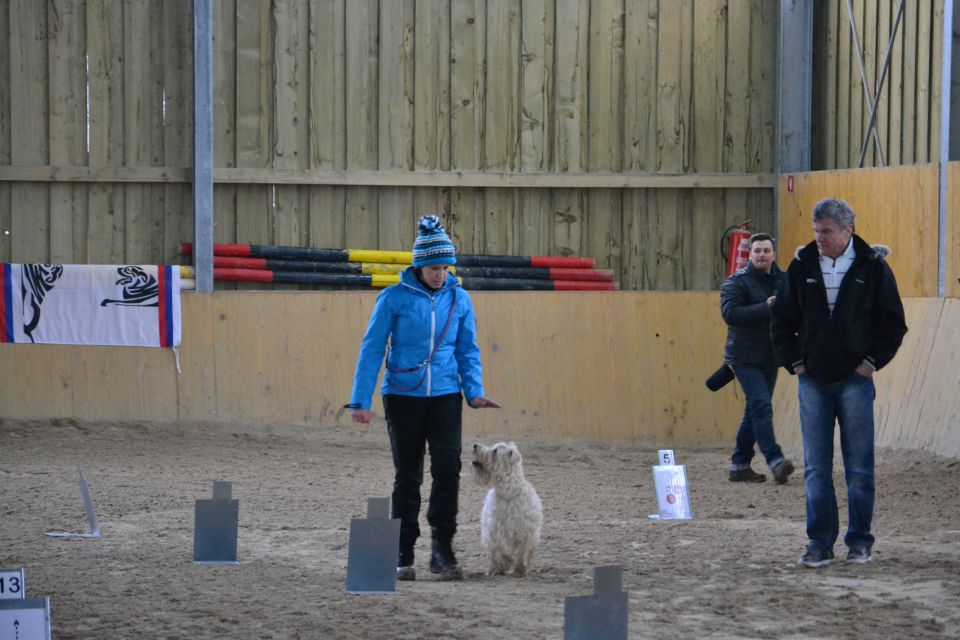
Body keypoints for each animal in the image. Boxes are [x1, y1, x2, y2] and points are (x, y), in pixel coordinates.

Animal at [470, 442, 540, 576]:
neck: (508, 491)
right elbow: (501, 548)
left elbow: (521, 551)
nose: (475, 445)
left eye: (495, 451)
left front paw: (520, 569)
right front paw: (506, 561)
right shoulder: (496, 528)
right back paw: (494, 569)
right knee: (493, 553)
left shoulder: (524, 530)